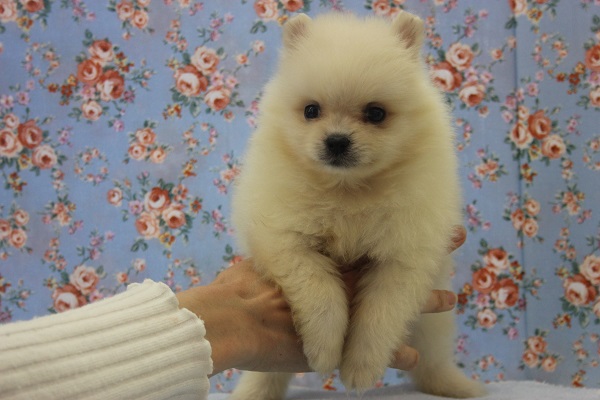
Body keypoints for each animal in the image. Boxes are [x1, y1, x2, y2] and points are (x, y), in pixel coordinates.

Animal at [230, 10, 488, 400]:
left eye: (376, 113)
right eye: (311, 110)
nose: (337, 141)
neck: (348, 190)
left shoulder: (403, 255)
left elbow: (380, 316)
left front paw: (360, 369)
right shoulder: (284, 238)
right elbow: (320, 292)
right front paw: (324, 351)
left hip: (432, 325)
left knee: (432, 363)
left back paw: (457, 386)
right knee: (267, 374)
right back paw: (252, 392)